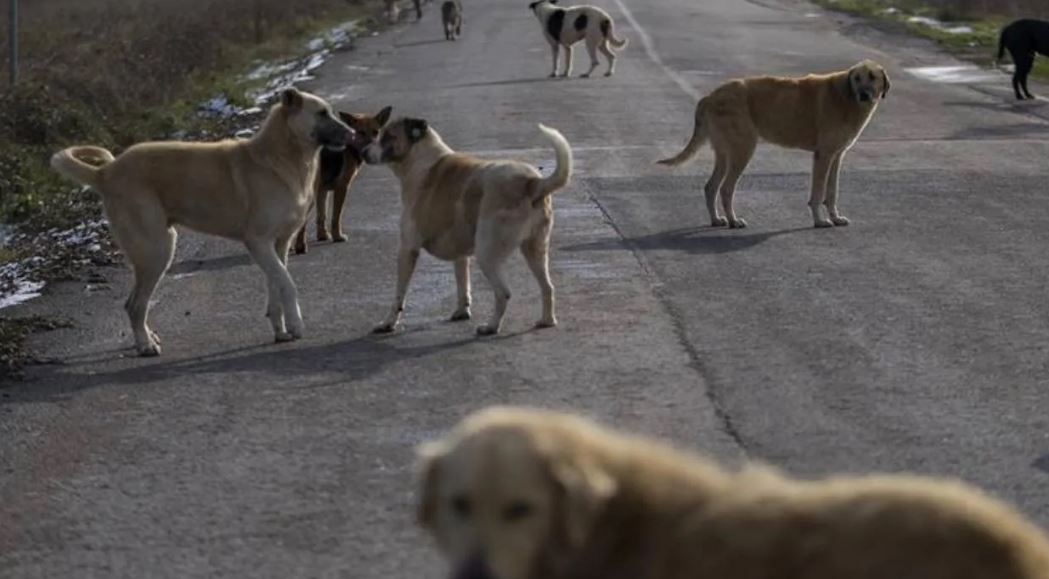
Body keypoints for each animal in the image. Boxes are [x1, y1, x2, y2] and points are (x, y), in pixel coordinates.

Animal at [50, 88, 356, 354]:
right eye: (321, 113)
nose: (352, 133)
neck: (280, 157)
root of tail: (106, 173)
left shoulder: (278, 245)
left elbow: (277, 286)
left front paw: (281, 330)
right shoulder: (258, 242)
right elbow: (288, 284)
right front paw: (296, 324)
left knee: (134, 303)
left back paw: (147, 338)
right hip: (157, 250)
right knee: (135, 305)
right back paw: (145, 346)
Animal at [293, 106, 392, 255]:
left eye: (376, 132)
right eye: (360, 132)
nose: (370, 150)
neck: (351, 146)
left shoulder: (322, 191)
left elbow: (322, 215)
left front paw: (323, 235)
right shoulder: (342, 187)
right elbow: (336, 216)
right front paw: (337, 236)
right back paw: (300, 246)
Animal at [360, 117, 574, 335]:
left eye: (388, 136)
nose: (363, 152)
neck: (420, 158)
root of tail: (532, 182)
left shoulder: (407, 249)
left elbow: (399, 295)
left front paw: (388, 323)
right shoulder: (460, 253)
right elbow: (462, 282)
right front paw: (462, 311)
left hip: (487, 254)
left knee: (504, 293)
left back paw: (491, 326)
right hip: (535, 249)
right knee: (547, 287)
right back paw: (547, 320)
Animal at [658, 60, 889, 228]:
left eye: (872, 77)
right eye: (857, 78)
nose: (864, 94)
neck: (846, 96)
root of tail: (710, 96)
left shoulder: (836, 156)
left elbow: (831, 192)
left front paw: (835, 217)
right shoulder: (823, 155)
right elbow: (817, 193)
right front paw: (820, 221)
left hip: (725, 153)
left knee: (711, 187)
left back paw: (716, 220)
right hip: (743, 150)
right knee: (725, 188)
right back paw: (733, 221)